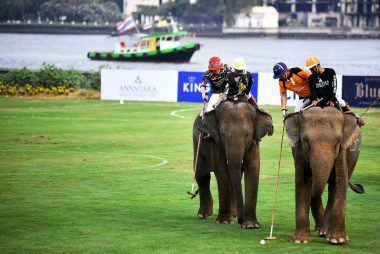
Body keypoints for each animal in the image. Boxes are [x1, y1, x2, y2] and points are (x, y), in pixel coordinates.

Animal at [193, 100, 274, 228]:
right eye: (222, 135)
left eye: (247, 135)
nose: (241, 220)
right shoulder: (216, 143)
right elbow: (221, 170)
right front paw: (224, 221)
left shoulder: (254, 143)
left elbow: (253, 170)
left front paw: (251, 225)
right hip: (197, 143)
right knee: (201, 175)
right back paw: (203, 214)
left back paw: (233, 214)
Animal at [284, 105, 362, 244]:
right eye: (305, 141)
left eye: (338, 142)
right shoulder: (299, 151)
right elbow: (302, 181)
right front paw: (300, 241)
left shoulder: (342, 150)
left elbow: (340, 180)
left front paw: (338, 240)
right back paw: (321, 230)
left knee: (333, 188)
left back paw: (325, 232)